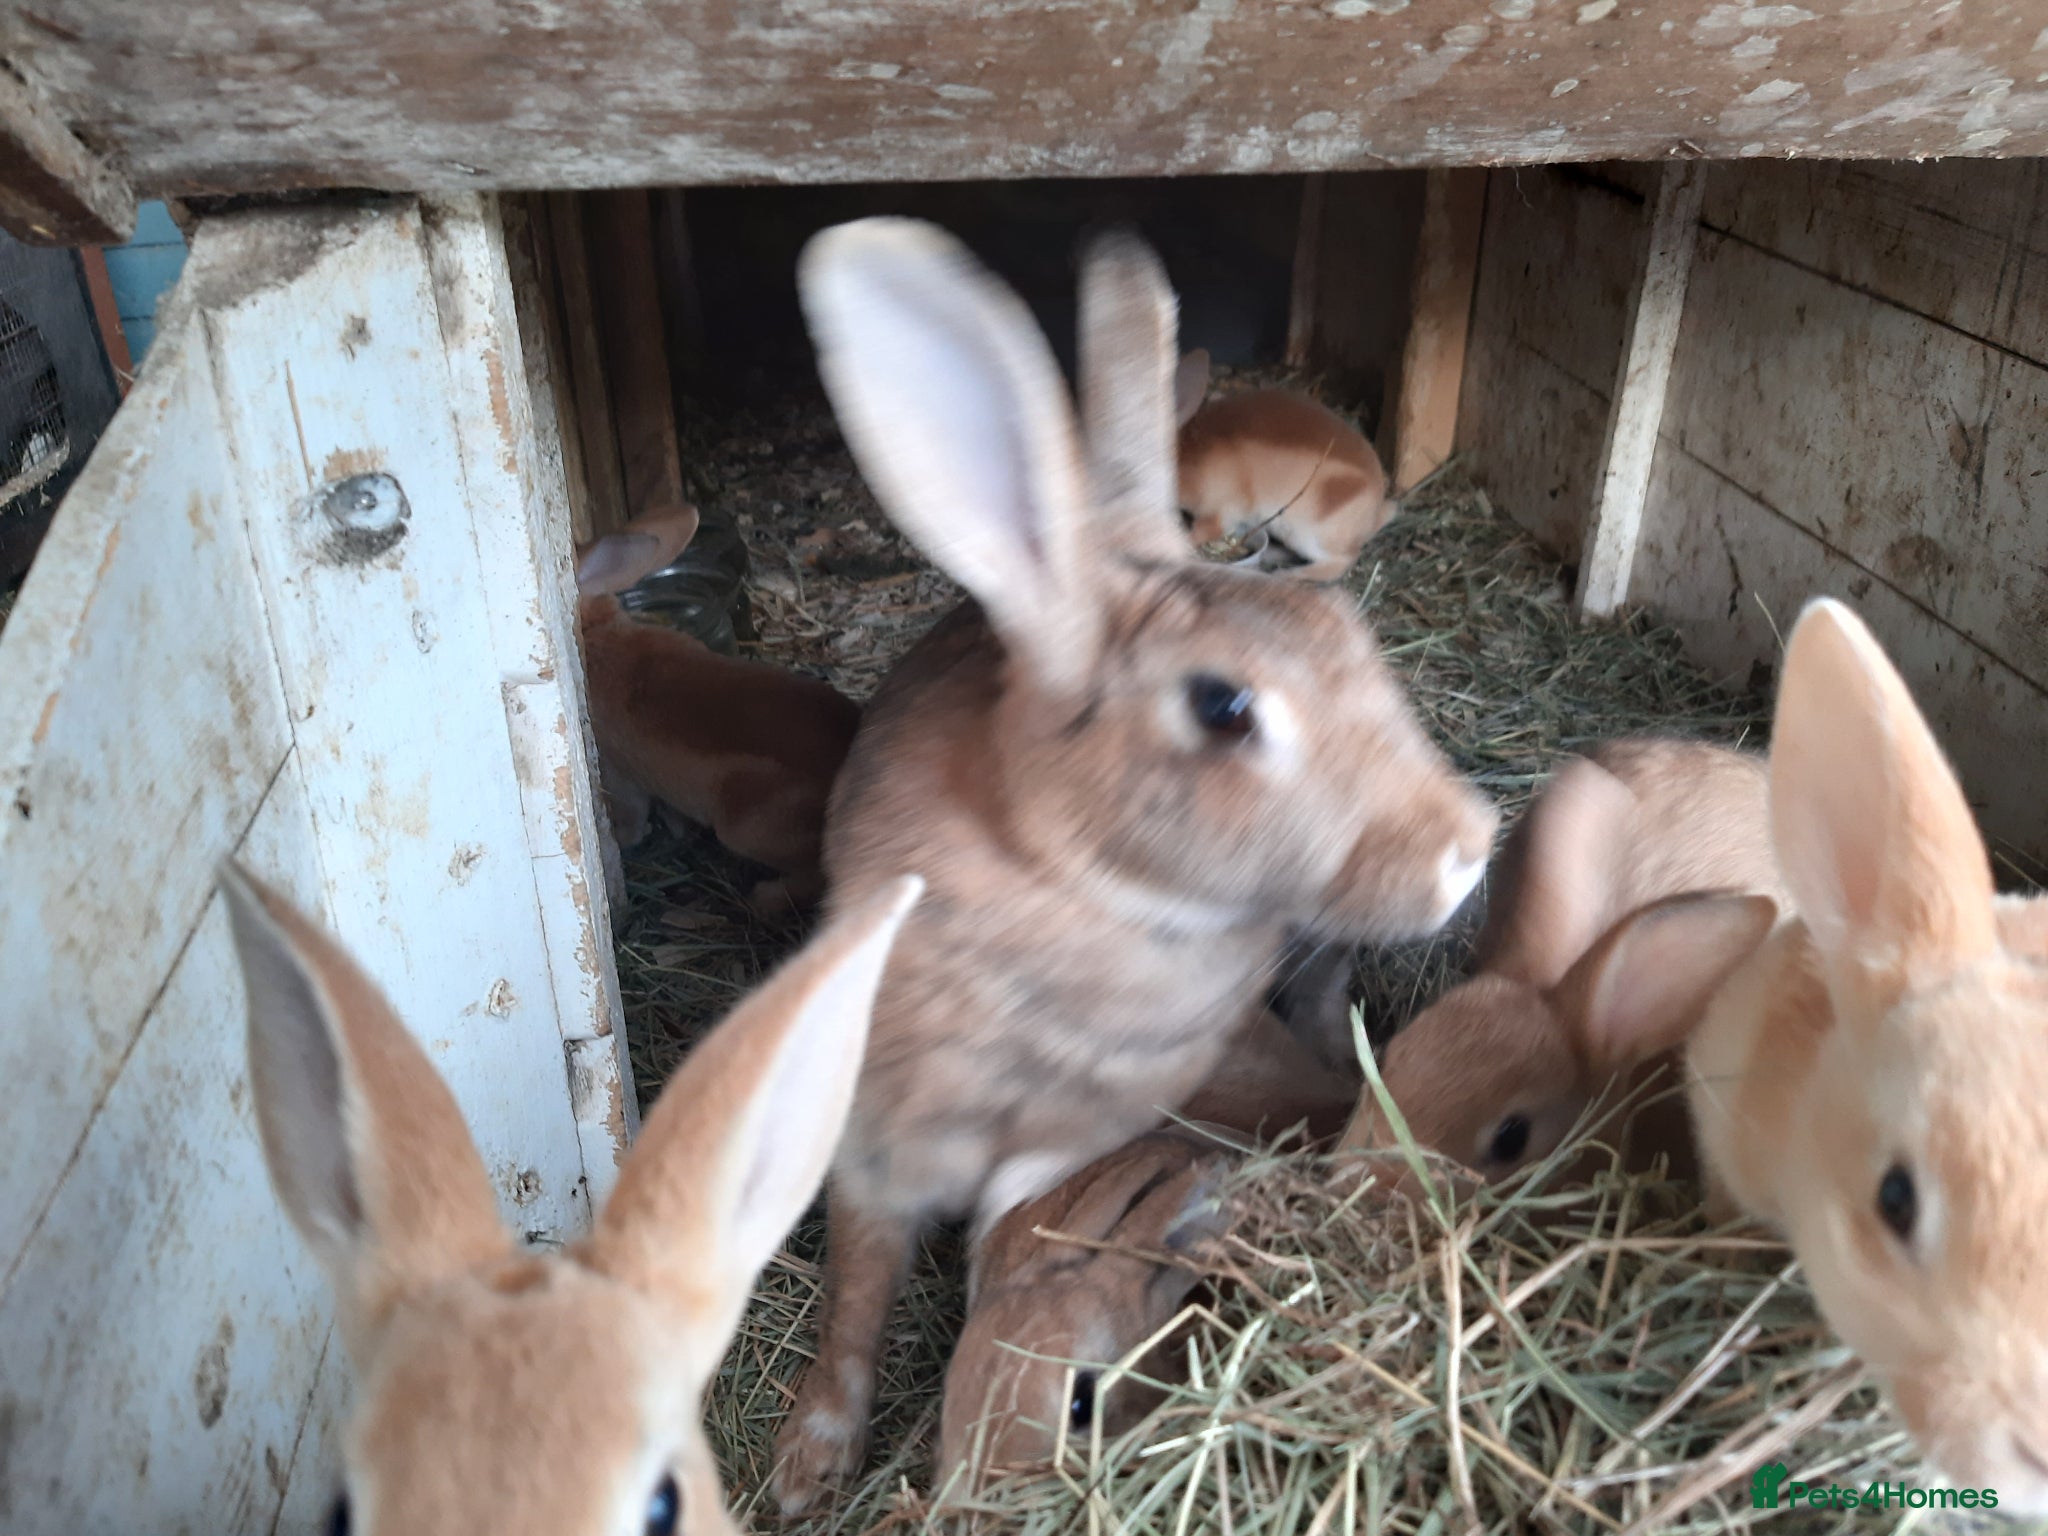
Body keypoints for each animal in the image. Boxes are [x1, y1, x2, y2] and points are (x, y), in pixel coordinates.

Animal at [575, 505, 862, 913]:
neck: (598, 630)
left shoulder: (618, 774)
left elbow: (630, 816)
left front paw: (629, 837)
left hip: (745, 825)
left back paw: (764, 897)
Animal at [1171, 349, 1392, 584]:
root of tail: (1374, 517)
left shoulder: (1219, 511)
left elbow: (1201, 532)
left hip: (1307, 535)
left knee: (1342, 561)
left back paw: (1288, 574)